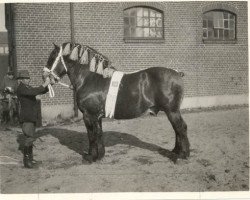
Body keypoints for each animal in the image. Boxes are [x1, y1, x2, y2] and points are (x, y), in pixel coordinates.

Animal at [44, 43, 189, 163]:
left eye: (52, 57)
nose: (44, 77)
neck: (89, 78)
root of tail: (177, 73)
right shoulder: (97, 116)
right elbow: (99, 134)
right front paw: (100, 155)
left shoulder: (88, 115)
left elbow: (91, 136)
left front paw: (91, 157)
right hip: (172, 111)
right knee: (177, 129)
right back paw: (175, 151)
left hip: (172, 111)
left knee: (180, 128)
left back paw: (182, 155)